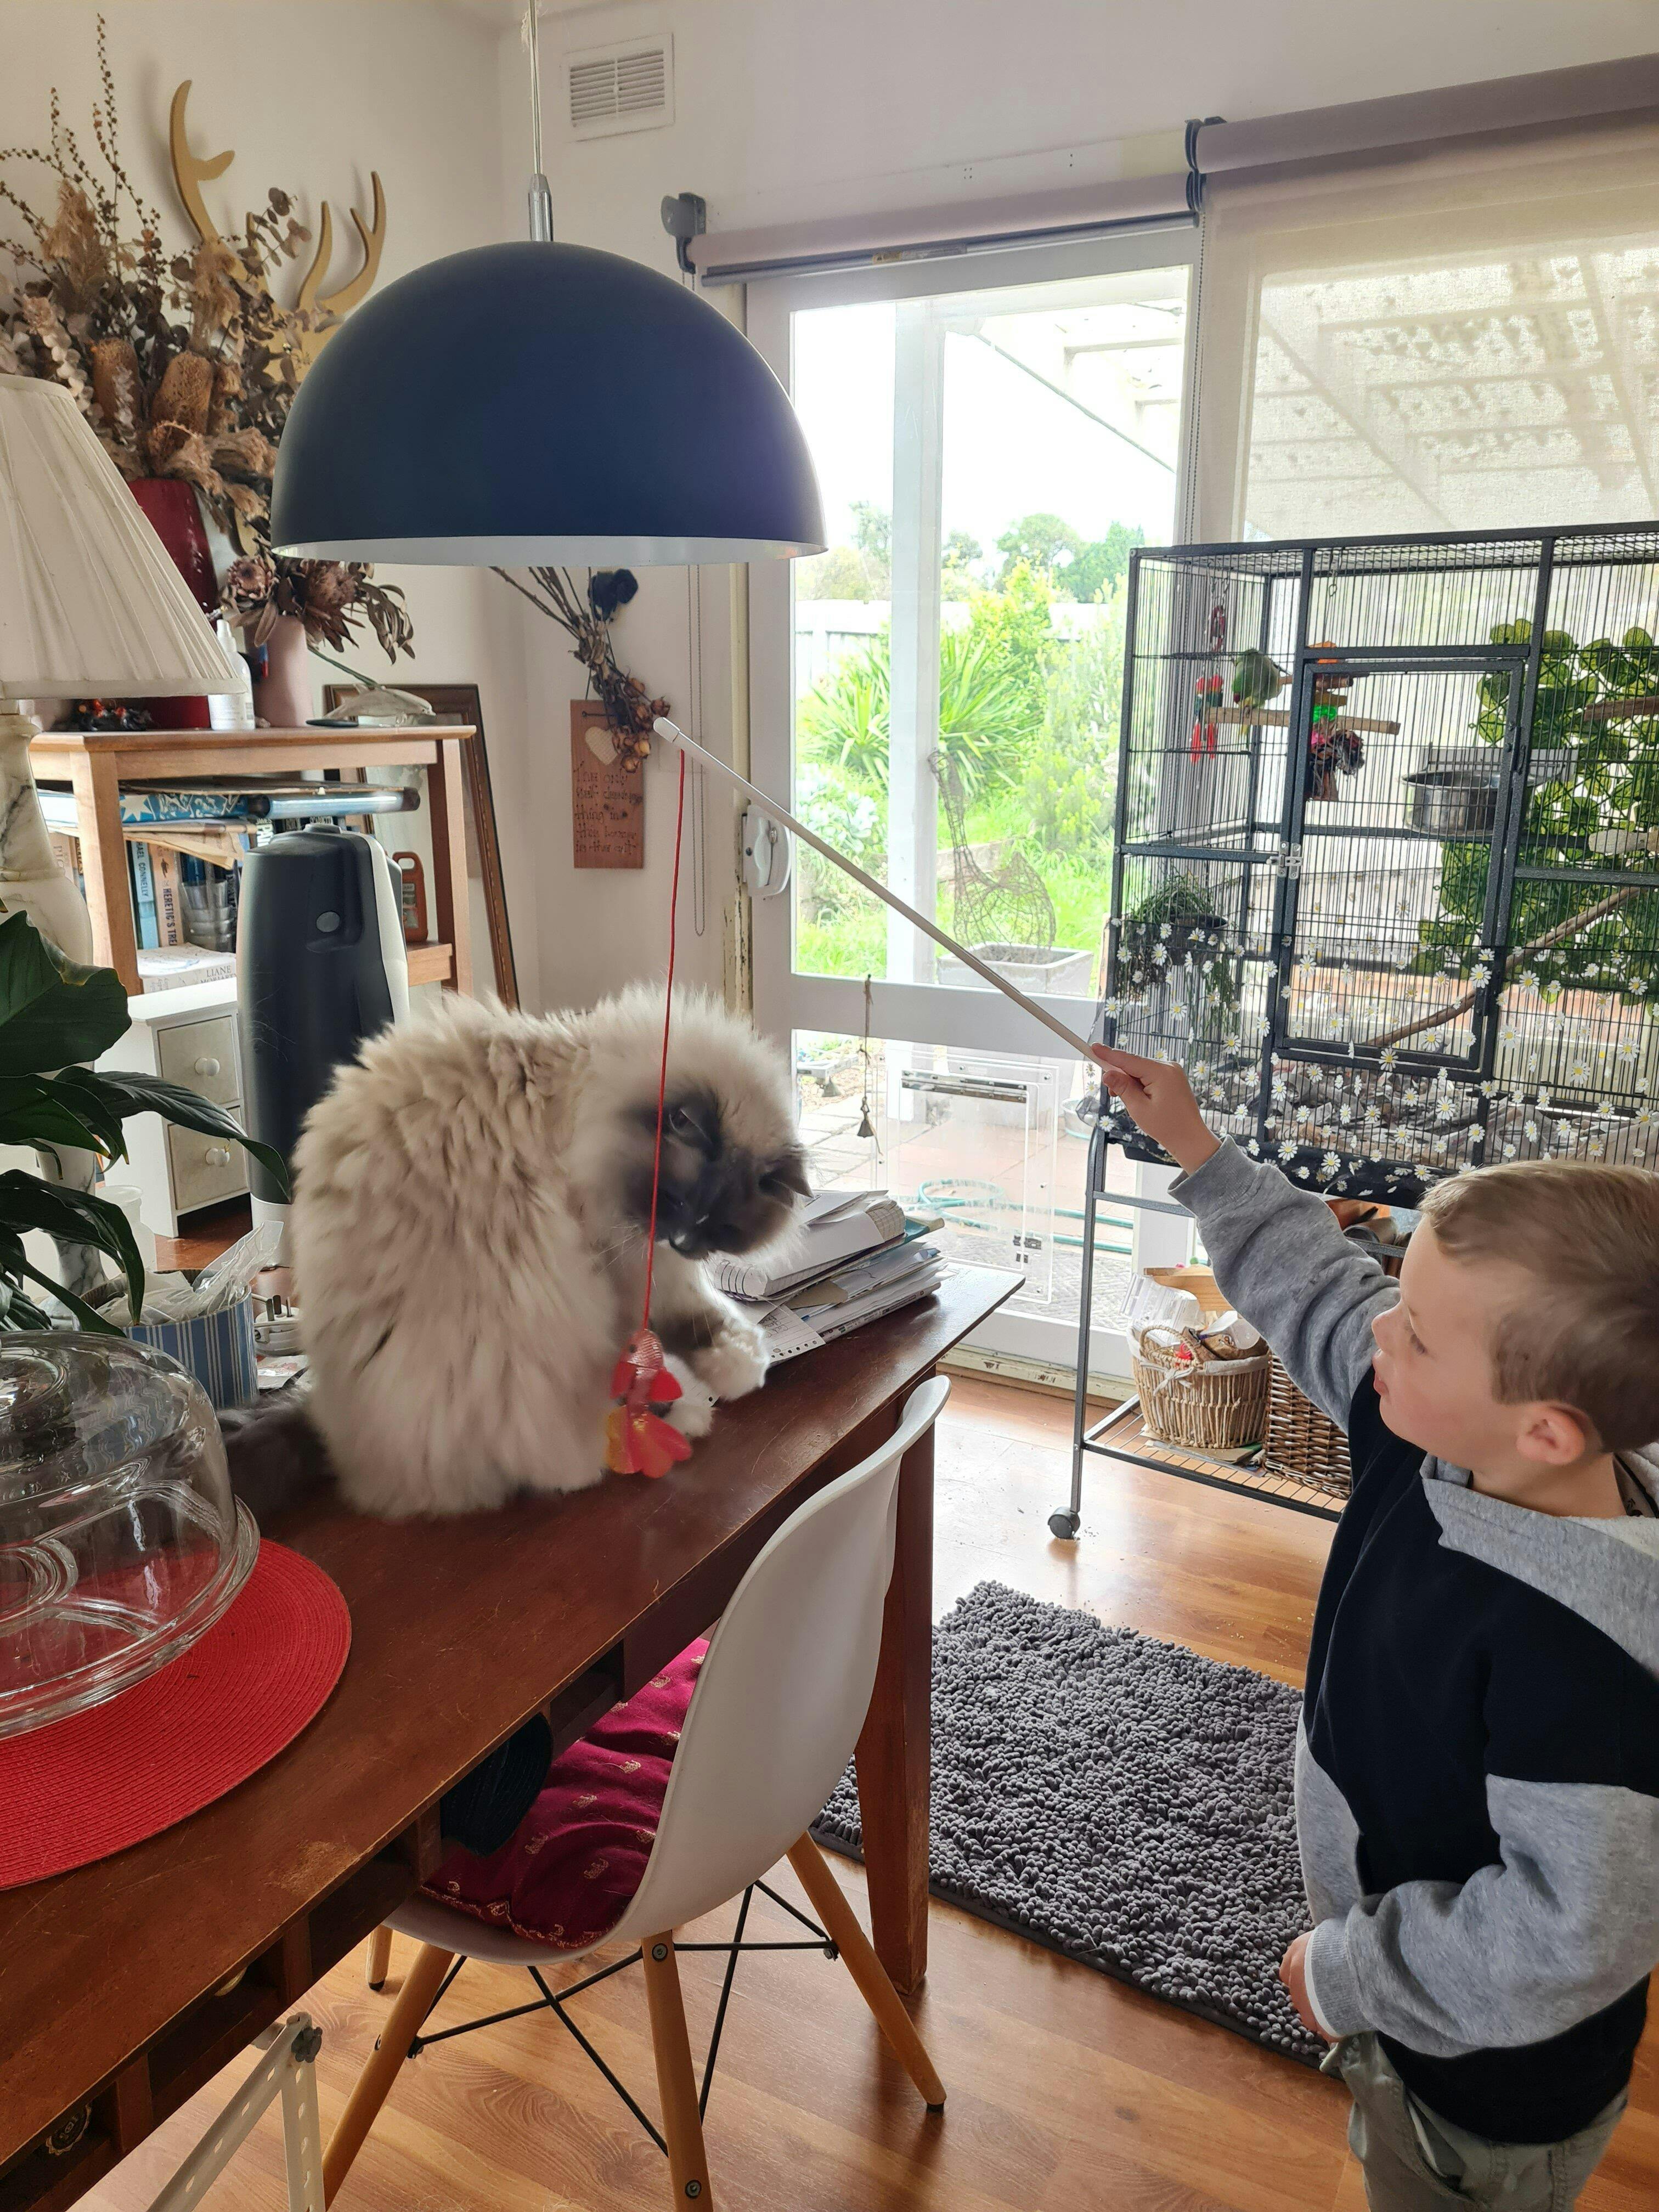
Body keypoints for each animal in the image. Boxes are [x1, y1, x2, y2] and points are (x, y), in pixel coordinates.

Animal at [289, 984, 809, 1518]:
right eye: (676, 1201)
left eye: (721, 1227)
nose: (684, 1244)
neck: (582, 1090)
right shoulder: (623, 1254)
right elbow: (695, 1321)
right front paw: (742, 1371)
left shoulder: (643, 1261)